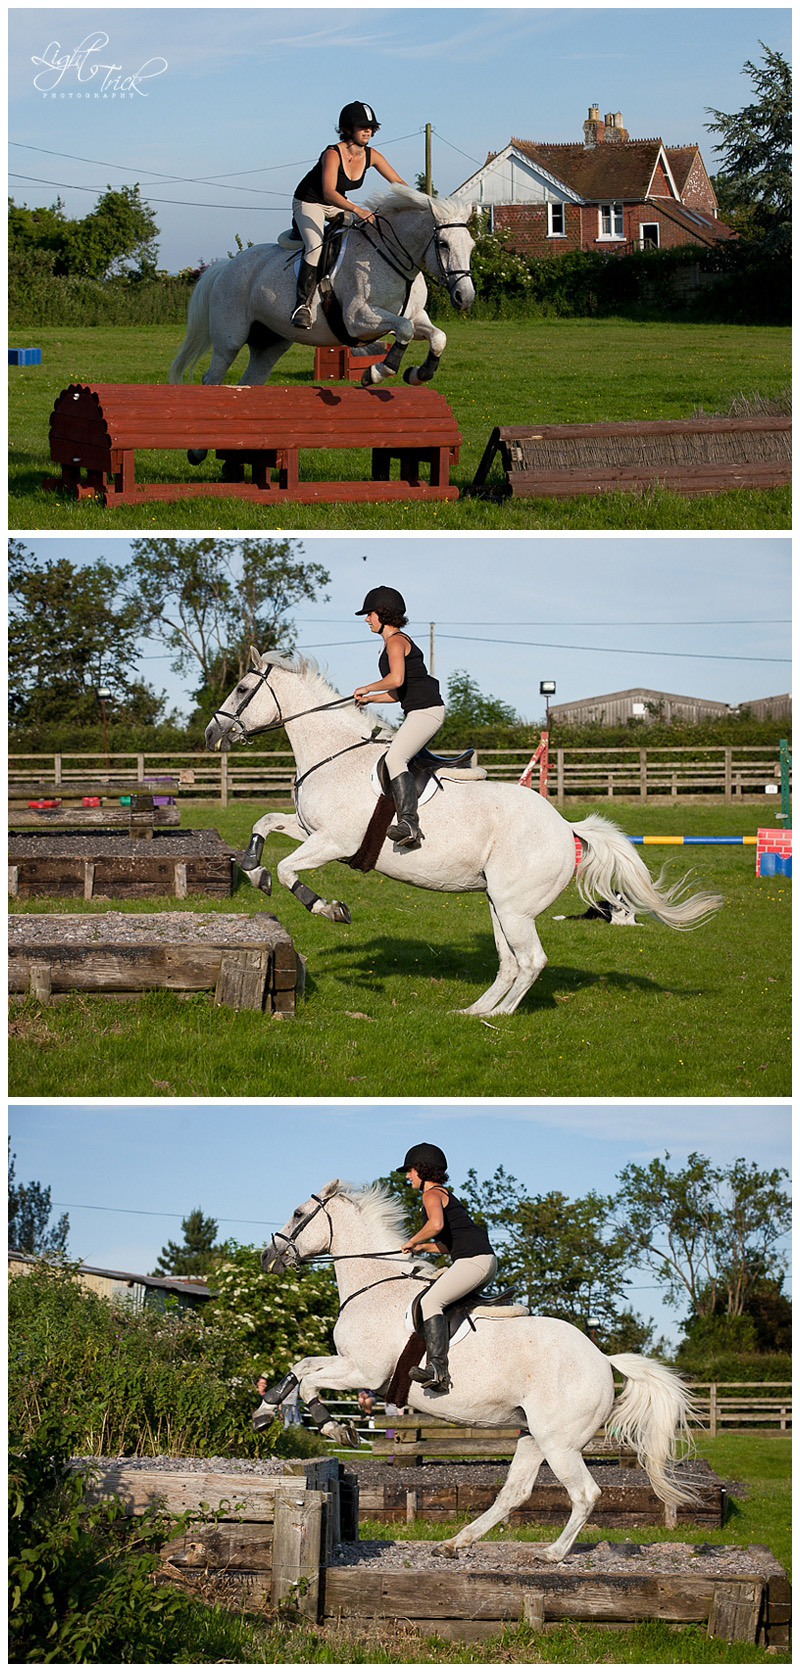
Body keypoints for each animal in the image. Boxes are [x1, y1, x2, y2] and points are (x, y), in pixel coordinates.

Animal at [168, 185, 475, 399]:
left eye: (471, 245)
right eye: (443, 244)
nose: (465, 297)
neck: (392, 257)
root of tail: (226, 266)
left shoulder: (415, 316)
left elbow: (437, 336)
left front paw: (418, 374)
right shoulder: (357, 319)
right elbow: (405, 330)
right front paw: (376, 373)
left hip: (270, 344)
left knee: (250, 380)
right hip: (229, 339)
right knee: (212, 378)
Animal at [204, 650, 722, 1019]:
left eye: (243, 687)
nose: (211, 735)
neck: (334, 751)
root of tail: (566, 828)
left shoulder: (335, 842)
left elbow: (290, 870)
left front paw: (328, 908)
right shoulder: (310, 829)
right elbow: (264, 824)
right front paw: (252, 869)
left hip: (514, 908)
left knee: (531, 962)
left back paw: (501, 1016)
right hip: (498, 903)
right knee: (510, 962)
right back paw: (473, 1011)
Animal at [254, 1181, 700, 1561]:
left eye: (298, 1214)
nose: (266, 1258)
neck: (373, 1284)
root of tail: (603, 1359)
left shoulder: (364, 1373)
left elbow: (309, 1381)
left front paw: (336, 1429)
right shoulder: (349, 1365)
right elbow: (301, 1367)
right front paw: (265, 1410)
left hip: (560, 1444)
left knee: (585, 1494)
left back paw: (552, 1554)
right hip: (534, 1436)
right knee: (514, 1492)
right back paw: (455, 1543)